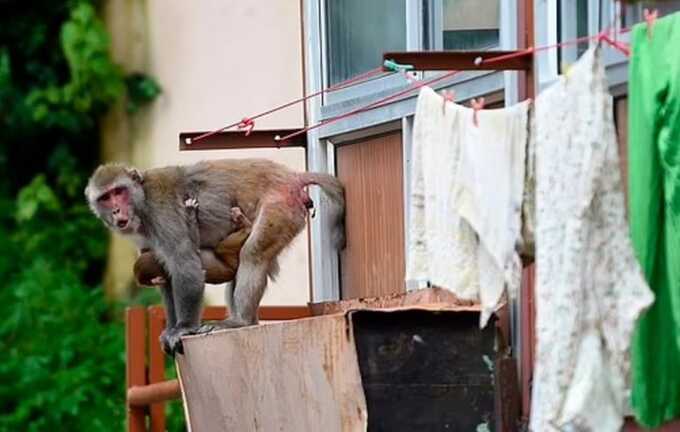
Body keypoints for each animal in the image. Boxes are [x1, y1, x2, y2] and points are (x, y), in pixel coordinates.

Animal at [86, 159, 346, 354]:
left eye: (119, 191)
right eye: (105, 198)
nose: (116, 210)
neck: (142, 201)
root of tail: (291, 177)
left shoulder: (162, 212)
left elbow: (185, 264)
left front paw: (183, 328)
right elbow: (164, 272)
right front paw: (170, 328)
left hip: (280, 207)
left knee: (252, 254)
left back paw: (240, 321)